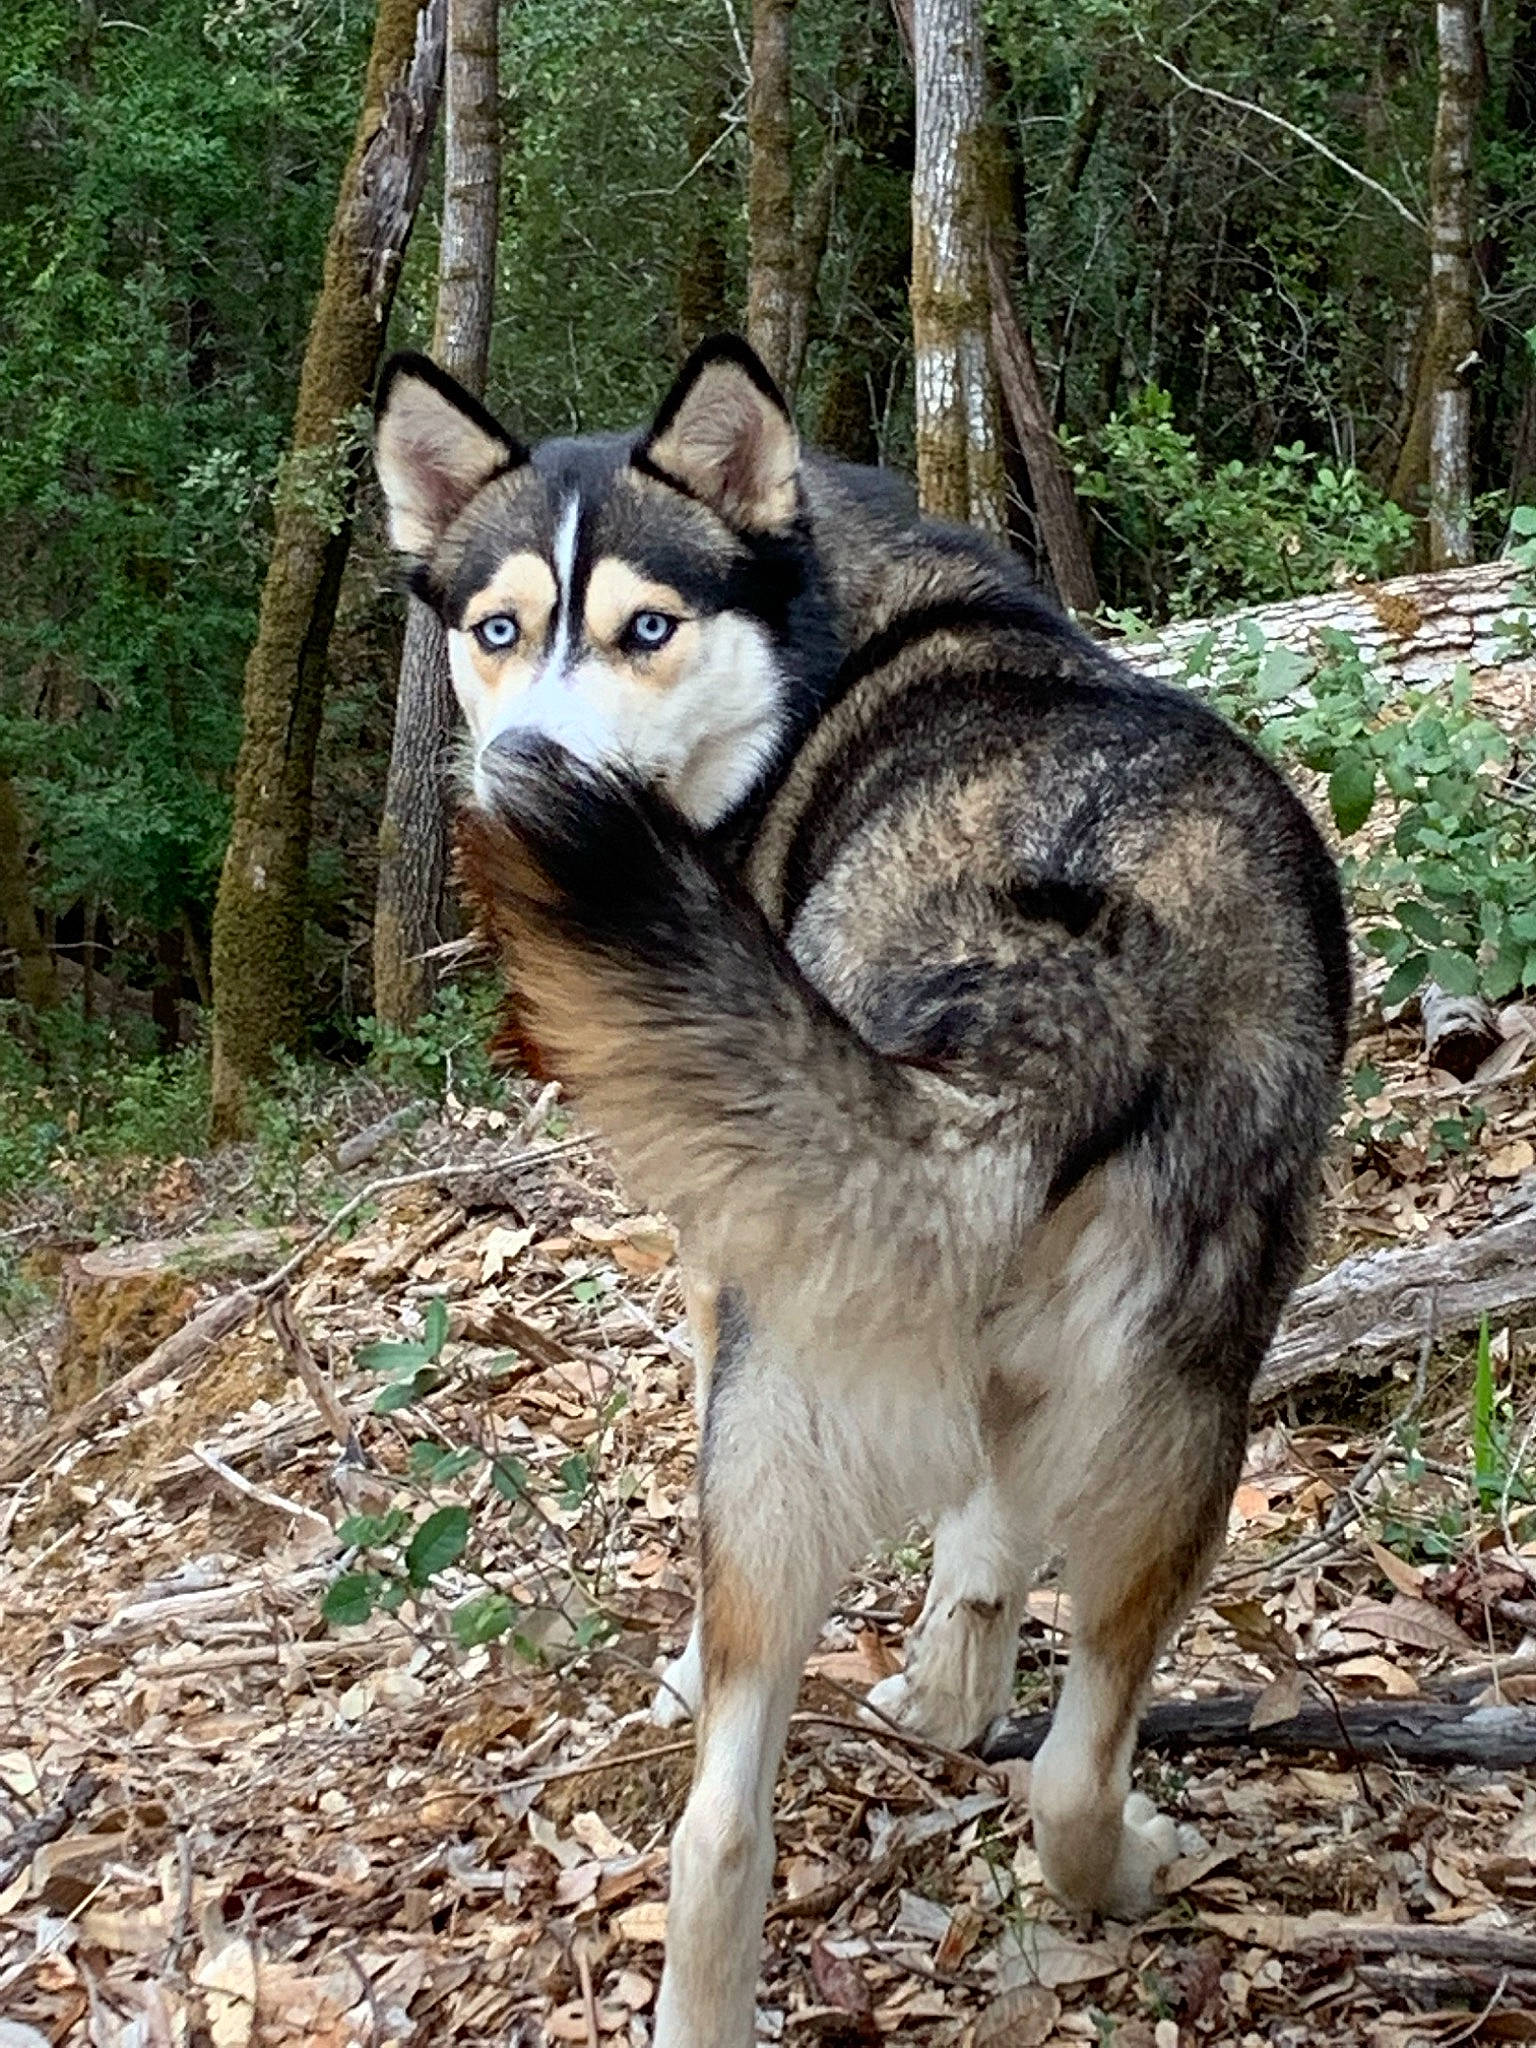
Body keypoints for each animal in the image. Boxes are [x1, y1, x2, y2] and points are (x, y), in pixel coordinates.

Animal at [373, 335, 1350, 2048]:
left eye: (647, 628)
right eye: (498, 631)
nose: (526, 766)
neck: (825, 628)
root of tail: (1056, 975)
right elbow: (991, 1531)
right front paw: (955, 1685)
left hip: (804, 1383)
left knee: (721, 1826)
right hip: (1182, 1422)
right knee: (1066, 1775)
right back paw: (1111, 1860)